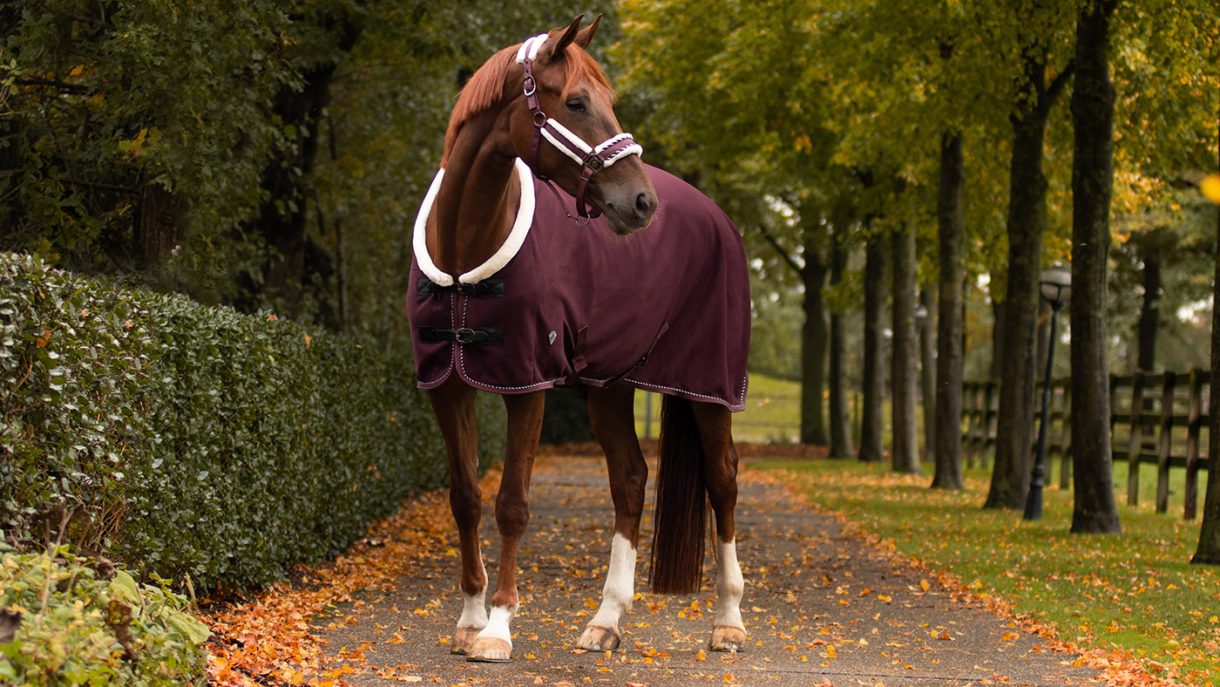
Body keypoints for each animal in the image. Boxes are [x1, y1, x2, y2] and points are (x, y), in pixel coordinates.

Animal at [406, 15, 750, 663]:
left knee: (723, 481)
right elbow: (465, 498)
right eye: (575, 102)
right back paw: (605, 620)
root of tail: (717, 218)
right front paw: (468, 619)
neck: (466, 249)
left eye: (608, 101)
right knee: (631, 481)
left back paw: (728, 621)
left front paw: (497, 628)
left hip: (709, 388)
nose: (641, 202)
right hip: (609, 386)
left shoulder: (527, 384)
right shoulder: (446, 385)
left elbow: (512, 505)